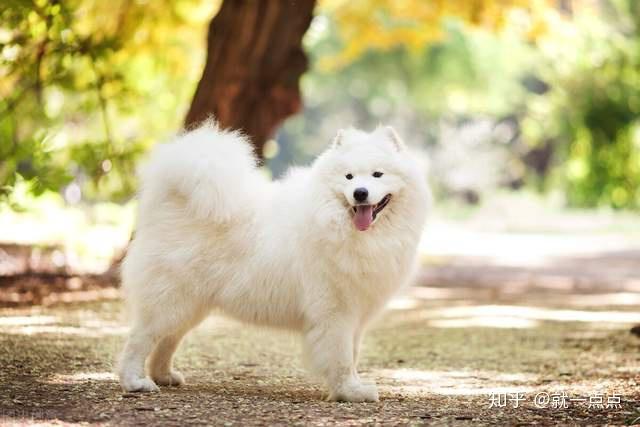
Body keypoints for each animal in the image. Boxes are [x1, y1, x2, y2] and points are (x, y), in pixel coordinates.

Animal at [119, 123, 430, 402]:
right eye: (349, 177)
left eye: (378, 174)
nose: (360, 193)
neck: (343, 226)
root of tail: (172, 200)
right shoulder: (335, 311)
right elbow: (341, 357)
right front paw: (350, 392)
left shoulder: (357, 313)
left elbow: (351, 355)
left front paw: (351, 388)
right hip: (169, 300)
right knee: (139, 339)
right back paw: (135, 382)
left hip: (191, 306)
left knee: (167, 341)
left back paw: (164, 375)